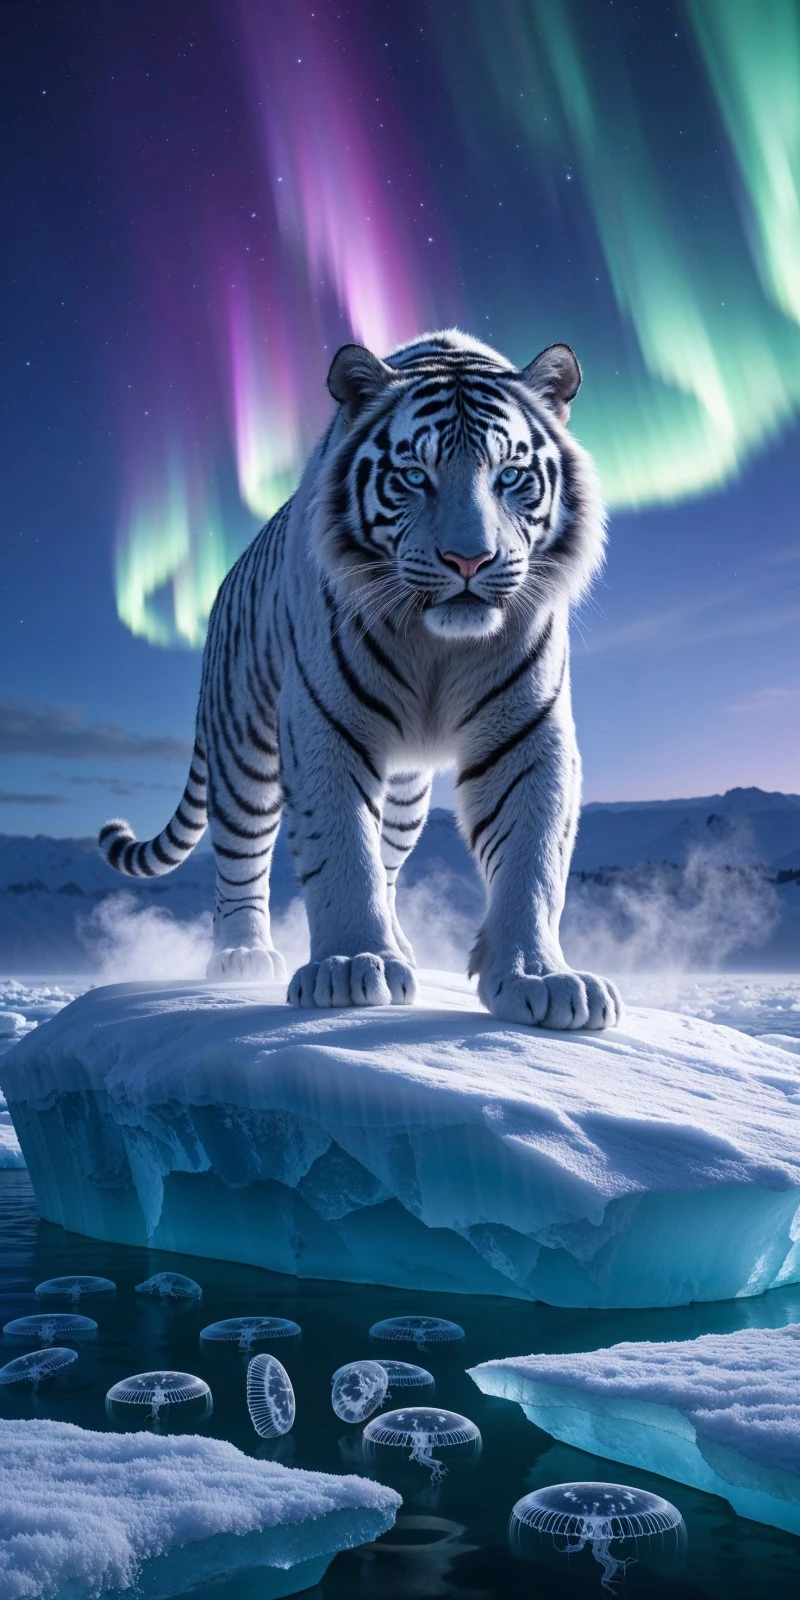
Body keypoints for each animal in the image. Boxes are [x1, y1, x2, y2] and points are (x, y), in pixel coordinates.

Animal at [99, 328, 622, 1030]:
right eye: (413, 476)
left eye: (509, 475)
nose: (469, 559)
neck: (437, 645)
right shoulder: (325, 723)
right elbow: (342, 848)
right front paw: (351, 968)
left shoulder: (527, 731)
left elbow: (532, 856)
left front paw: (541, 978)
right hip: (243, 751)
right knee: (241, 857)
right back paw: (241, 956)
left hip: (405, 793)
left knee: (390, 859)